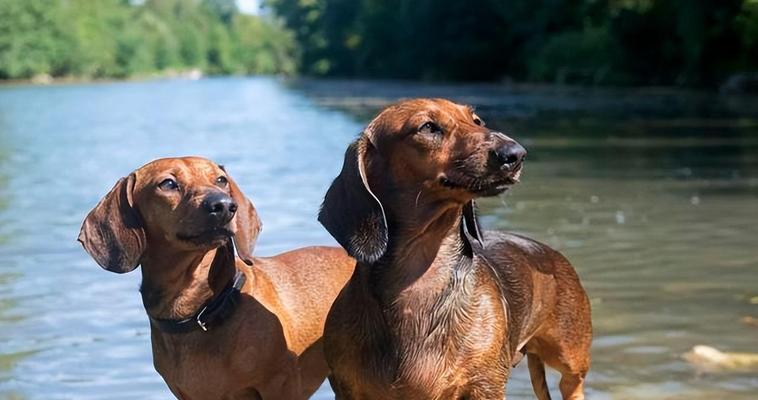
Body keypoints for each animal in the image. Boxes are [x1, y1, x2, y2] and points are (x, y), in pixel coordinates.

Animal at [320, 97, 592, 400]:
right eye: (428, 127)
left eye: (477, 120)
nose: (515, 154)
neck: (418, 282)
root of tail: (551, 253)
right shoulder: (347, 389)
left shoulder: (485, 387)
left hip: (570, 358)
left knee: (572, 384)